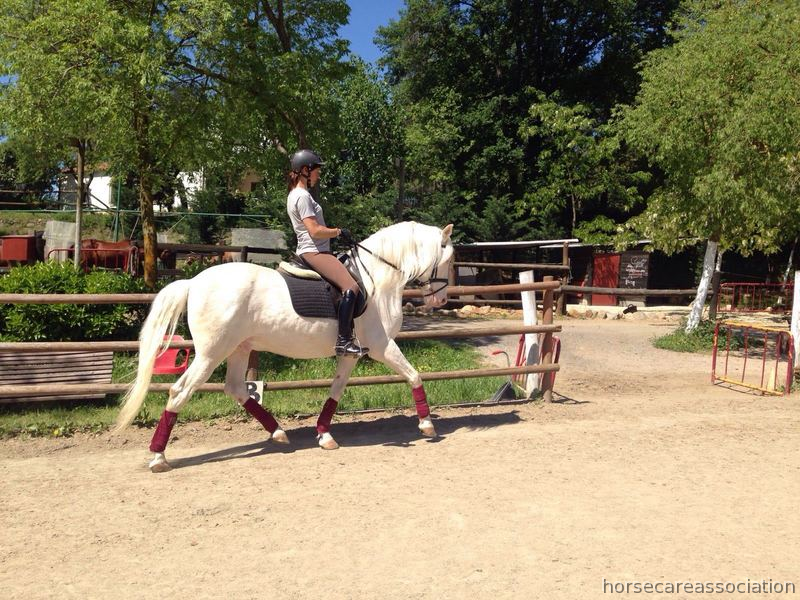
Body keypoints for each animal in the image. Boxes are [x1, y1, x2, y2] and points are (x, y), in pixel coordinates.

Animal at [115, 221, 455, 472]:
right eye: (449, 261)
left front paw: (324, 434)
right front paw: (427, 425)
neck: (377, 278)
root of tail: (193, 282)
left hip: (239, 348)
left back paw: (278, 432)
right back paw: (158, 457)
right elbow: (414, 375)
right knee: (179, 392)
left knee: (235, 388)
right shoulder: (383, 345)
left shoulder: (352, 353)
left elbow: (336, 390)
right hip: (212, 353)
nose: (440, 300)